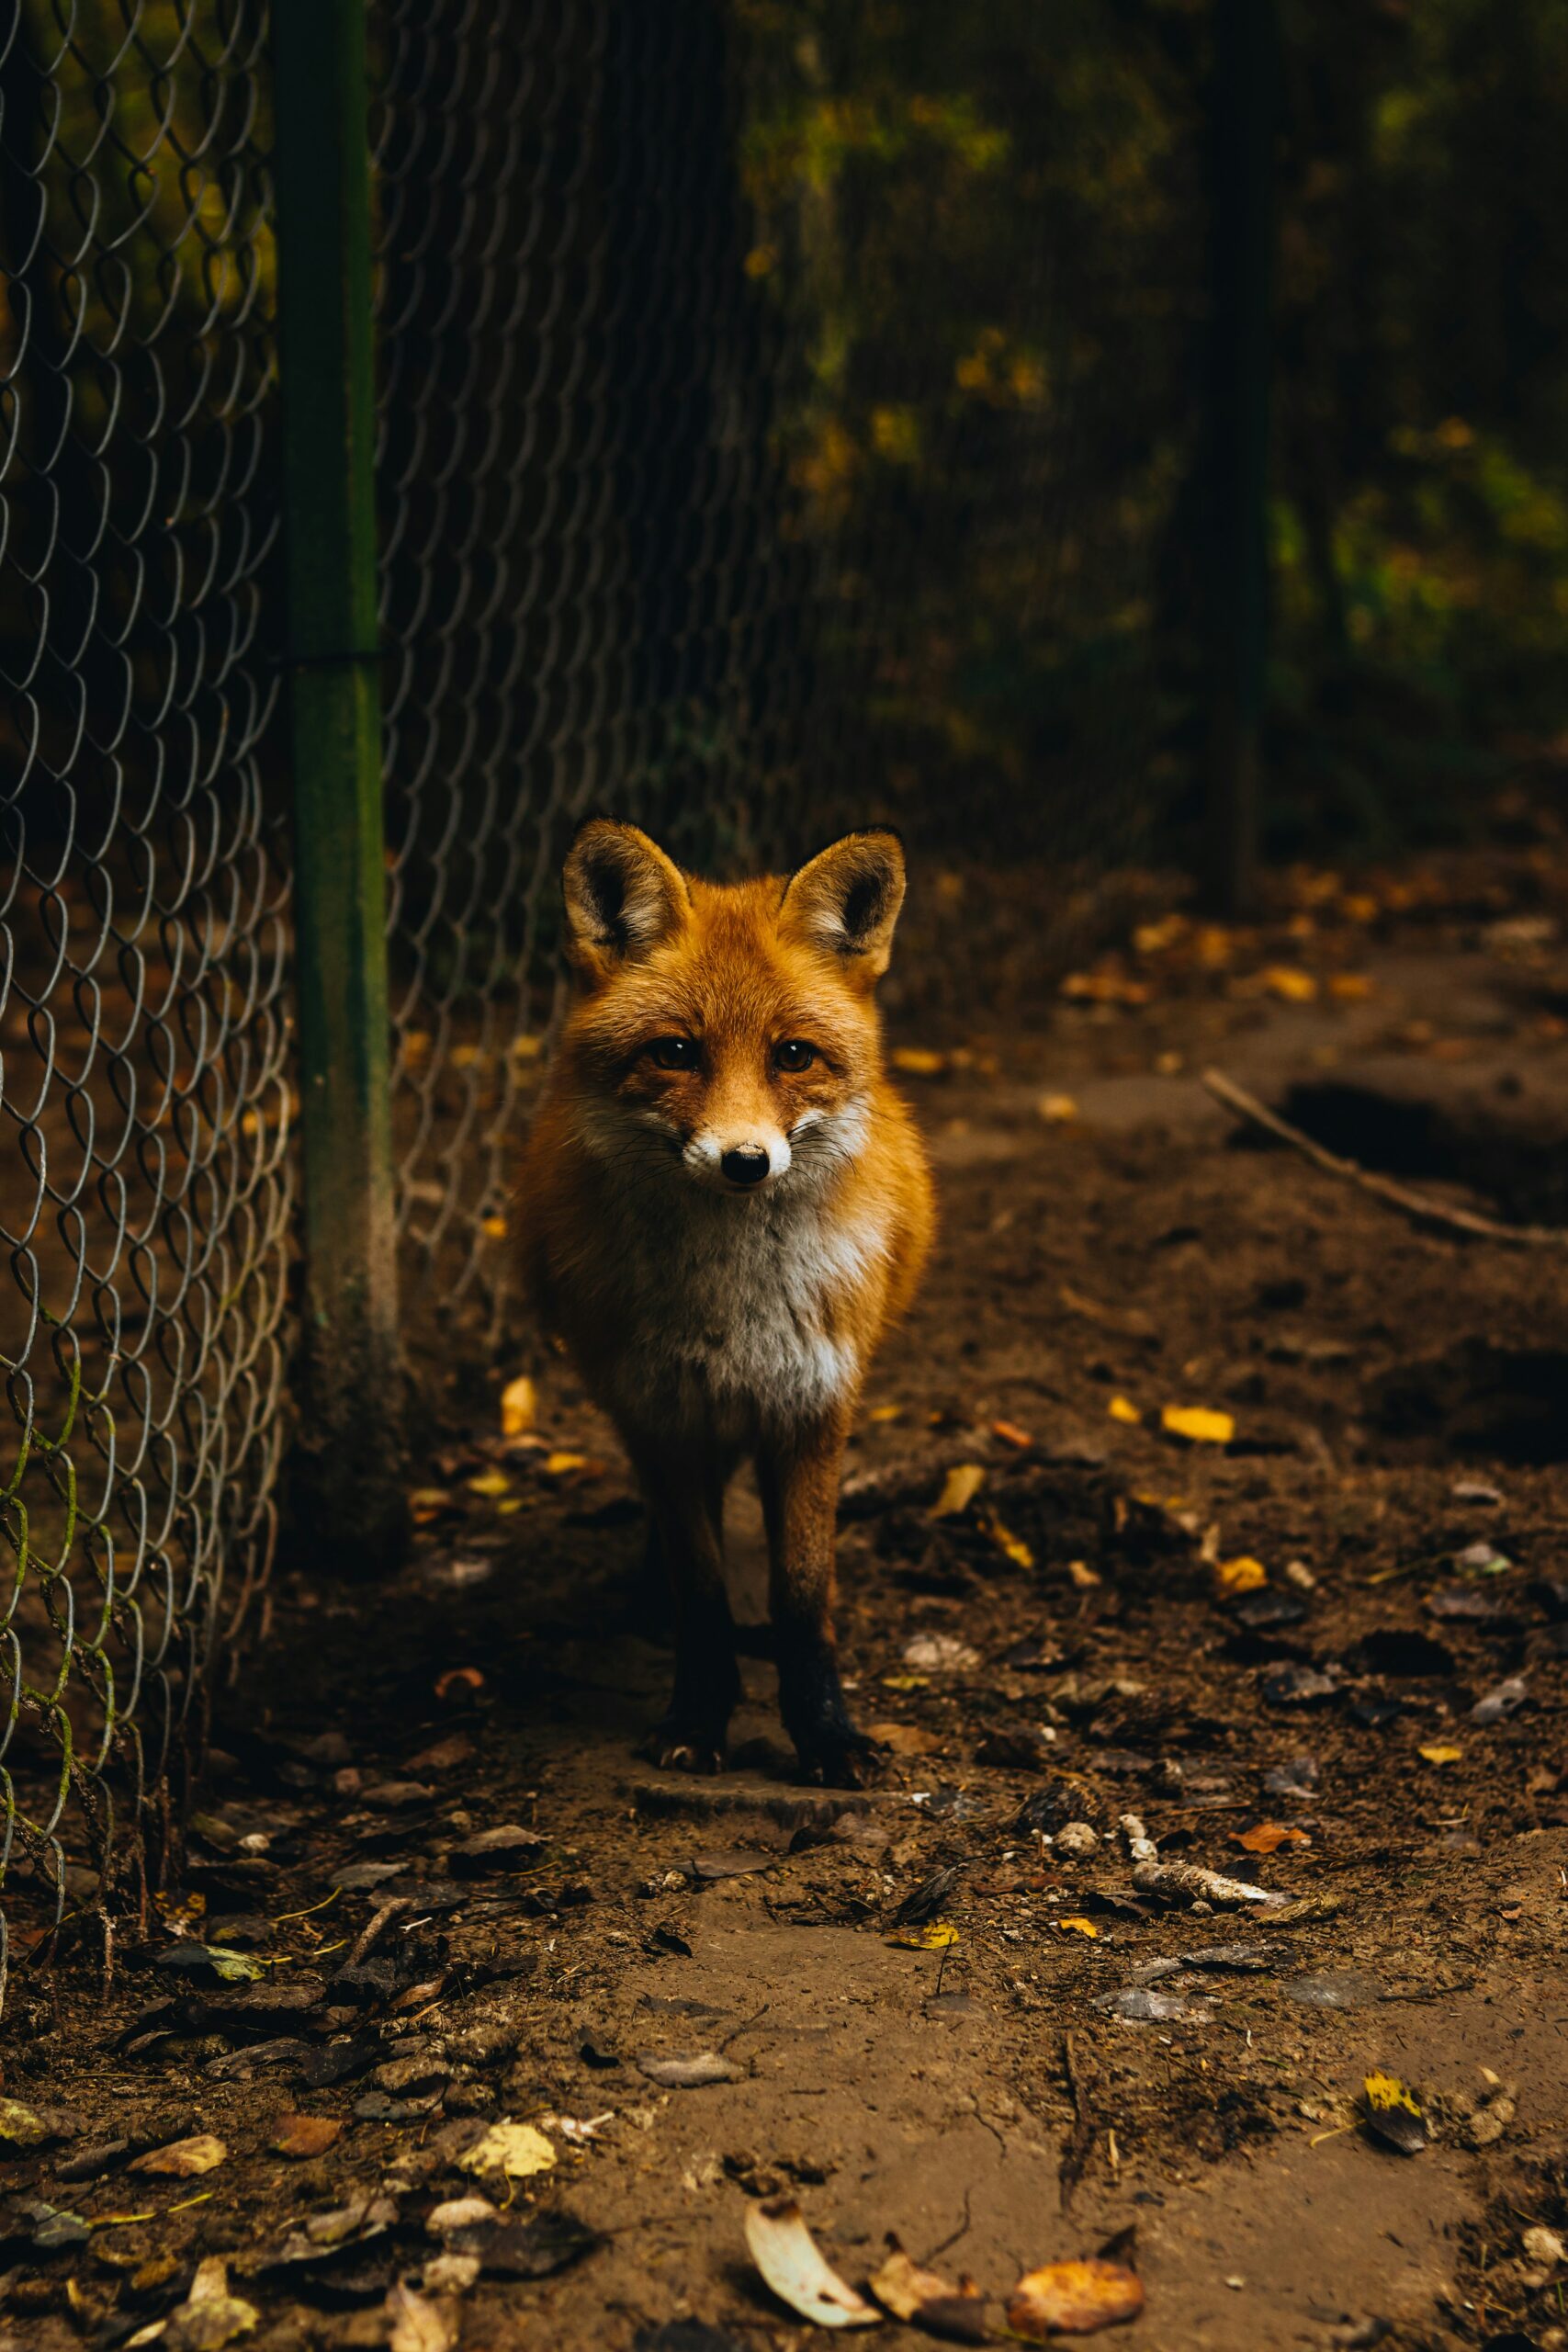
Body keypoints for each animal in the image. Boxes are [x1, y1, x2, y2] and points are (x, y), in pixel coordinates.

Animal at [517, 818, 935, 1787]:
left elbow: (802, 1595)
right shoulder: (663, 1412)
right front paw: (698, 1717)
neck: (734, 1312)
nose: (745, 1162)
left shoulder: (813, 1406)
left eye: (793, 1056)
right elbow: (700, 1591)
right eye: (675, 1052)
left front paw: (825, 1735)